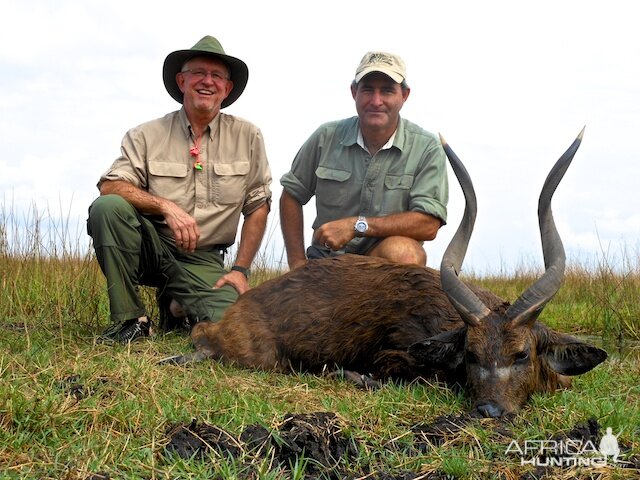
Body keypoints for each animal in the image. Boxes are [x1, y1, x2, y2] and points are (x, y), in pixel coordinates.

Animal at [162, 127, 608, 416]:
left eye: (522, 354)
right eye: (471, 353)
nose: (490, 411)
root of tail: (240, 307)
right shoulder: (395, 356)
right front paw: (352, 376)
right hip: (257, 356)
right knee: (201, 335)